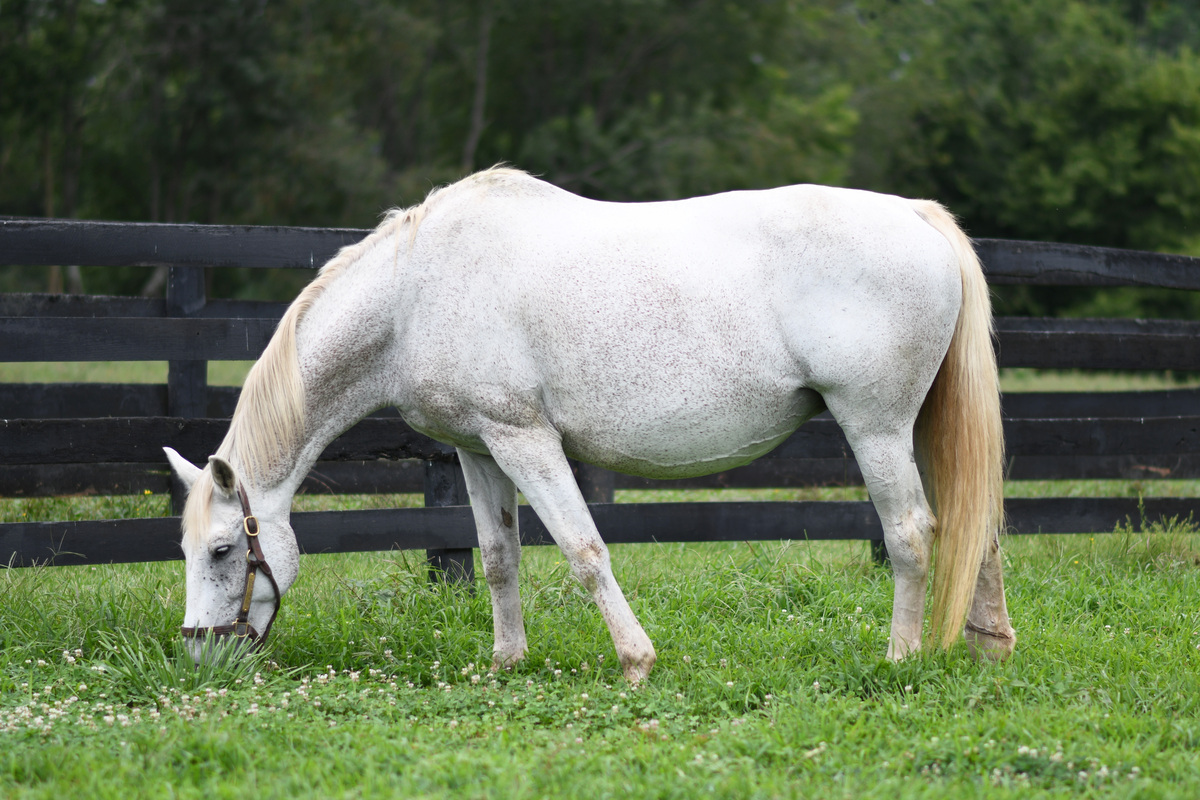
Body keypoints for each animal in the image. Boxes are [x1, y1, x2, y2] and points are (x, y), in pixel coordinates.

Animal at [164, 167, 1015, 684]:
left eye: (222, 550)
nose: (201, 658)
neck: (415, 291)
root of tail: (918, 216)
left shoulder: (525, 439)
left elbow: (583, 550)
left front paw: (636, 661)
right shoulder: (478, 450)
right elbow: (498, 558)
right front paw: (507, 663)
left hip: (876, 427)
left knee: (910, 533)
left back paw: (901, 657)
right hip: (922, 428)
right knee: (977, 526)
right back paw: (990, 649)